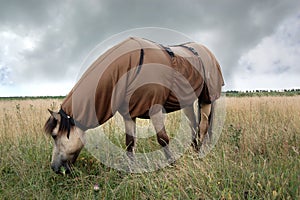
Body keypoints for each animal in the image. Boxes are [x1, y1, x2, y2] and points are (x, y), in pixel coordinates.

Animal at [44, 37, 223, 173]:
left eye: (54, 135)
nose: (54, 168)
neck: (131, 68)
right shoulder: (129, 113)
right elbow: (130, 143)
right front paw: (131, 170)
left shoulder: (155, 108)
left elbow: (163, 139)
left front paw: (172, 164)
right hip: (187, 102)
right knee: (194, 125)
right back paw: (194, 150)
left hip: (207, 99)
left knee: (204, 126)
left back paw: (201, 153)